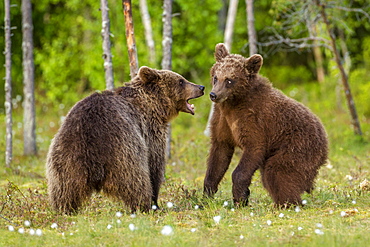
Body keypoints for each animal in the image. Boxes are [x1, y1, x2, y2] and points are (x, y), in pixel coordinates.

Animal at [46, 66, 205, 213]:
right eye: (181, 81)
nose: (201, 87)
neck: (154, 105)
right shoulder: (149, 132)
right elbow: (154, 165)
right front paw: (156, 202)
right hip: (123, 150)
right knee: (136, 181)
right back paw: (144, 206)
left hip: (66, 155)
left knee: (64, 188)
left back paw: (64, 209)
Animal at [204, 44, 328, 206]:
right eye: (216, 77)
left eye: (229, 80)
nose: (214, 95)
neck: (233, 104)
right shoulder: (222, 121)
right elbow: (219, 157)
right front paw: (207, 195)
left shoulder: (253, 121)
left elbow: (253, 148)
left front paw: (241, 198)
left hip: (297, 146)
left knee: (277, 172)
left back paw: (287, 203)